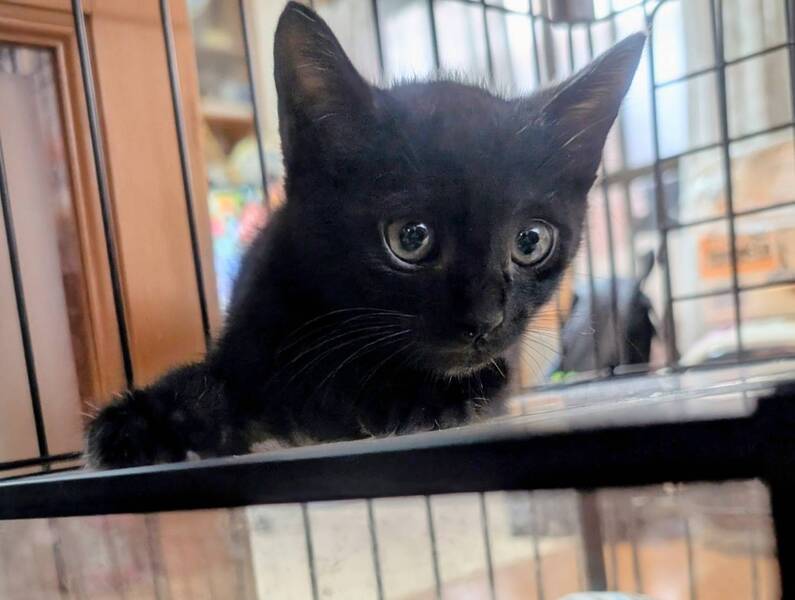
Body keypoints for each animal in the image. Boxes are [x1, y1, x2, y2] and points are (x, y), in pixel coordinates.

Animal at [85, 2, 645, 468]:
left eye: (530, 242)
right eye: (410, 238)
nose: (484, 321)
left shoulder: (499, 365)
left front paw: (416, 401)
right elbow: (219, 384)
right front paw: (143, 420)